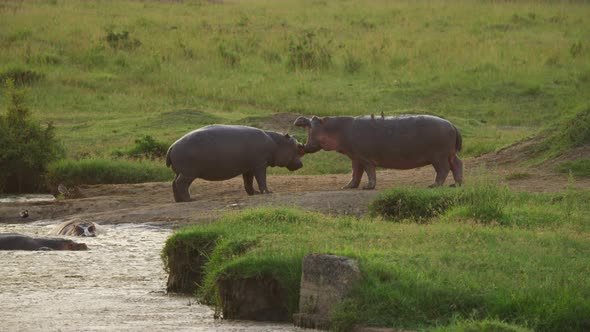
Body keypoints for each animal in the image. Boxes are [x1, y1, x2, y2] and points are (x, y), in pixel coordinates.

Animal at [166, 124, 306, 202]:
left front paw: (254, 193)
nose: (301, 164)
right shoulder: (260, 165)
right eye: (297, 146)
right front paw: (268, 192)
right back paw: (190, 199)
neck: (276, 143)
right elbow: (262, 179)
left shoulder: (248, 168)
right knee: (181, 184)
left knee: (174, 183)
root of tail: (172, 146)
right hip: (188, 173)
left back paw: (179, 200)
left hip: (180, 172)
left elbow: (248, 183)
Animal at [294, 114, 464, 189]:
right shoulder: (355, 157)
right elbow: (355, 173)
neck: (336, 129)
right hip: (449, 154)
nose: (300, 119)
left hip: (438, 156)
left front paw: (368, 187)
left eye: (315, 120)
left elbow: (369, 172)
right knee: (457, 164)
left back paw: (433, 185)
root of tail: (452, 125)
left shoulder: (365, 158)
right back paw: (456, 184)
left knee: (443, 169)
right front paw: (347, 186)